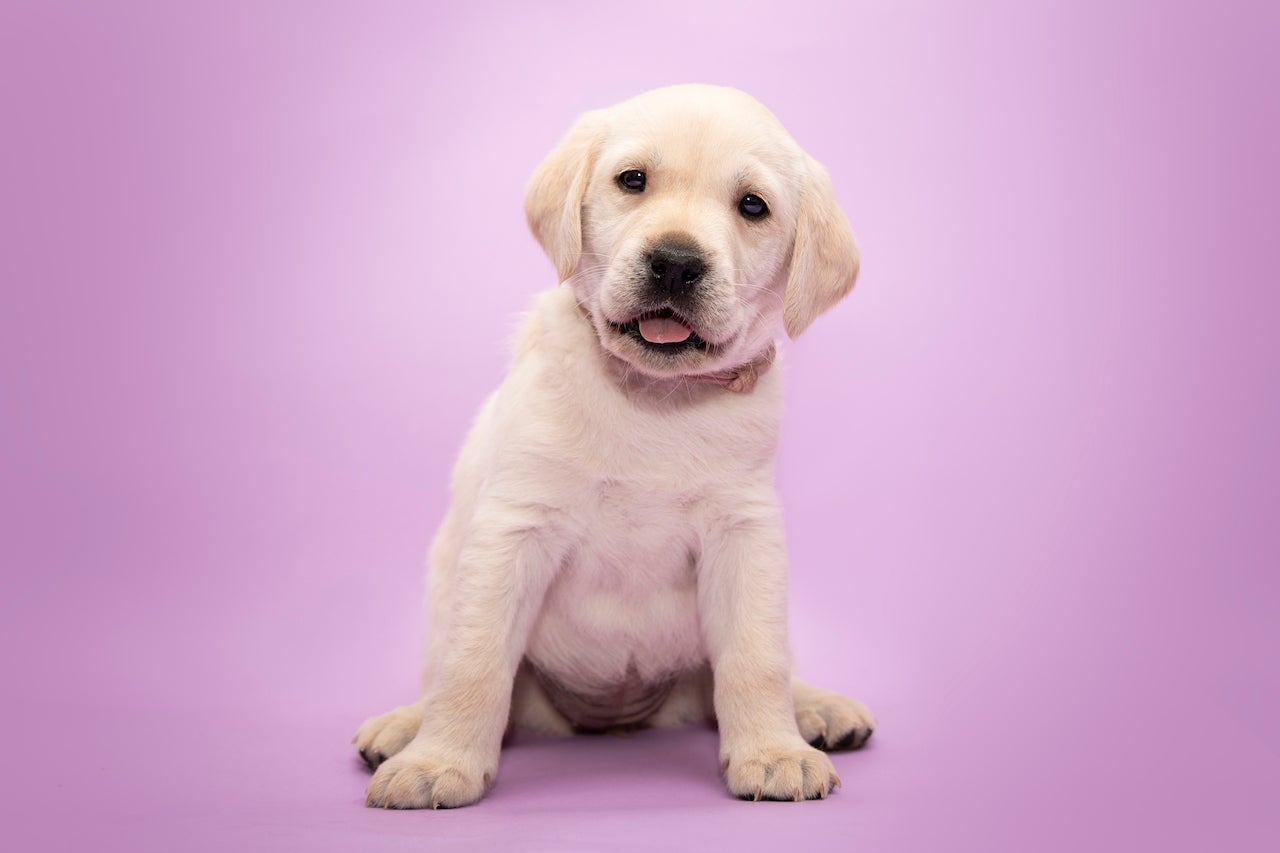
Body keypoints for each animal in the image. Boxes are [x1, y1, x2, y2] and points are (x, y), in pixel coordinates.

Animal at [360, 84, 880, 804]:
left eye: (753, 206)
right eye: (632, 180)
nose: (676, 262)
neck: (652, 399)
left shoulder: (744, 533)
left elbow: (756, 657)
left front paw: (772, 750)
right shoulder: (513, 529)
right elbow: (475, 661)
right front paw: (439, 762)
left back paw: (815, 708)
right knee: (443, 665)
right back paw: (406, 725)